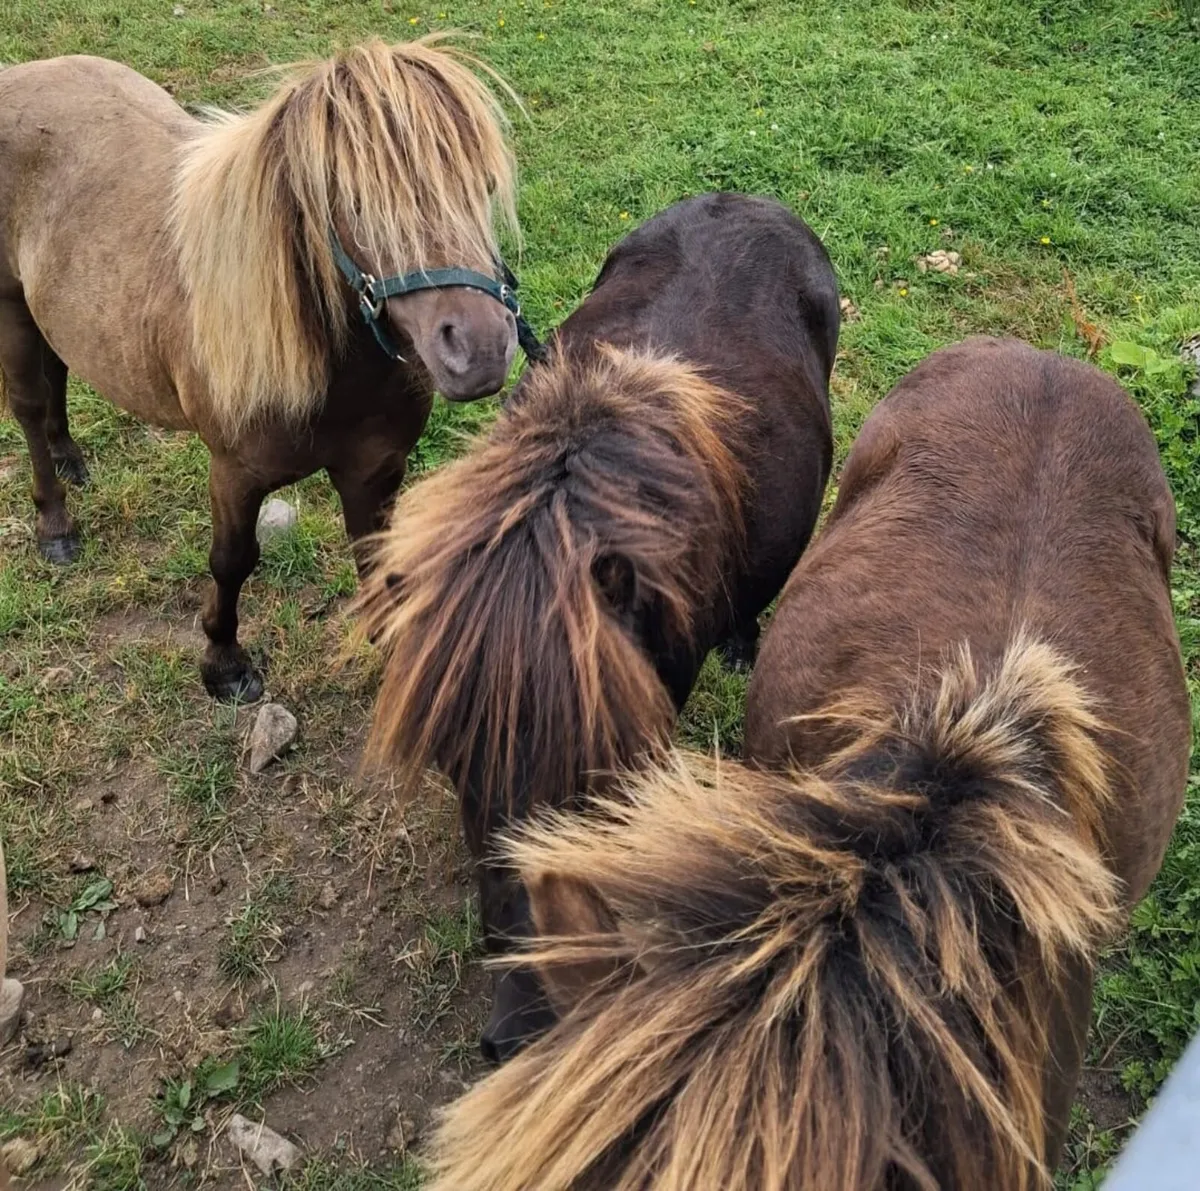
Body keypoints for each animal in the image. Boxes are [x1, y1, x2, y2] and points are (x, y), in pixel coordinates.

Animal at [0, 37, 529, 701]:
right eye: (354, 202)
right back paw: (55, 523)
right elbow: (232, 562)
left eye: (480, 184)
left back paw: (70, 457)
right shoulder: (235, 474)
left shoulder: (374, 470)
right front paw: (224, 663)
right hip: (10, 303)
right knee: (28, 405)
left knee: (61, 368)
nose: (480, 349)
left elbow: (377, 560)